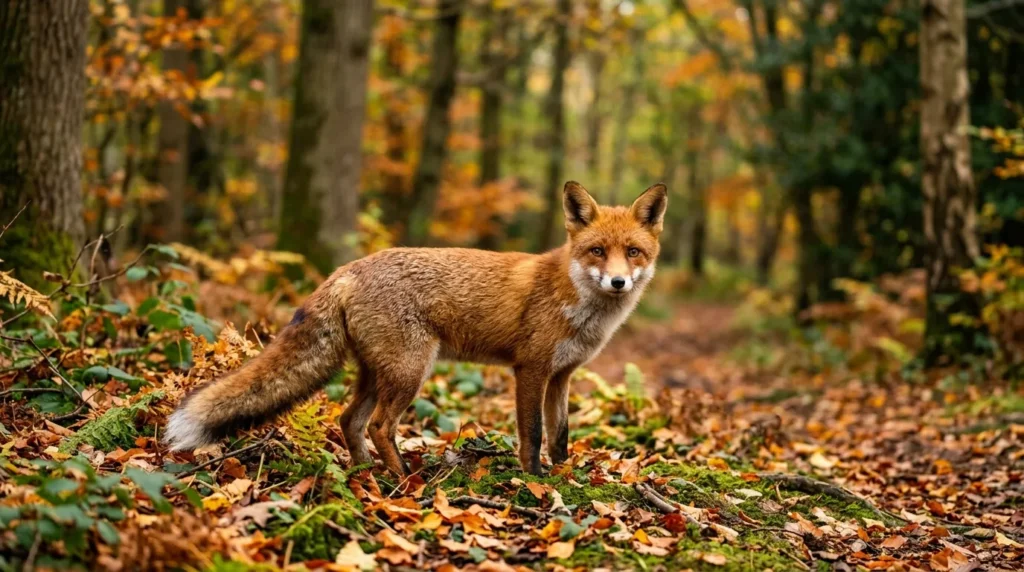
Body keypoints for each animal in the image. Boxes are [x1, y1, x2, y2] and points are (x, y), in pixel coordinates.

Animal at [165, 181, 668, 475]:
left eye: (633, 253)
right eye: (597, 251)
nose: (619, 282)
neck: (579, 306)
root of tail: (346, 269)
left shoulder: (561, 376)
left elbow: (560, 435)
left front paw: (564, 478)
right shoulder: (530, 369)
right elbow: (533, 435)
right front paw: (534, 482)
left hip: (378, 373)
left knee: (349, 420)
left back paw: (367, 473)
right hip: (411, 371)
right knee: (380, 426)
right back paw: (403, 480)